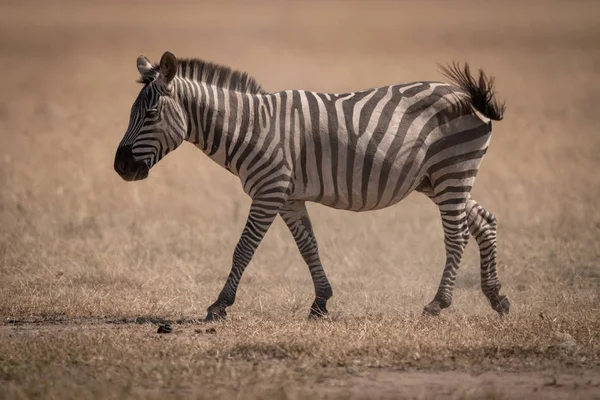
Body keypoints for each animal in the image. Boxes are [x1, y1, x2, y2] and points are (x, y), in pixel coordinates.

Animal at [115, 51, 508, 320]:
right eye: (131, 114)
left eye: (150, 114)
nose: (120, 167)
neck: (250, 127)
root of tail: (467, 97)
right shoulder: (289, 197)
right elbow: (309, 247)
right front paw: (321, 301)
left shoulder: (269, 190)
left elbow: (243, 249)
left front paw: (219, 304)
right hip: (437, 179)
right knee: (485, 222)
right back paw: (497, 298)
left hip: (451, 172)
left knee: (457, 235)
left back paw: (439, 303)